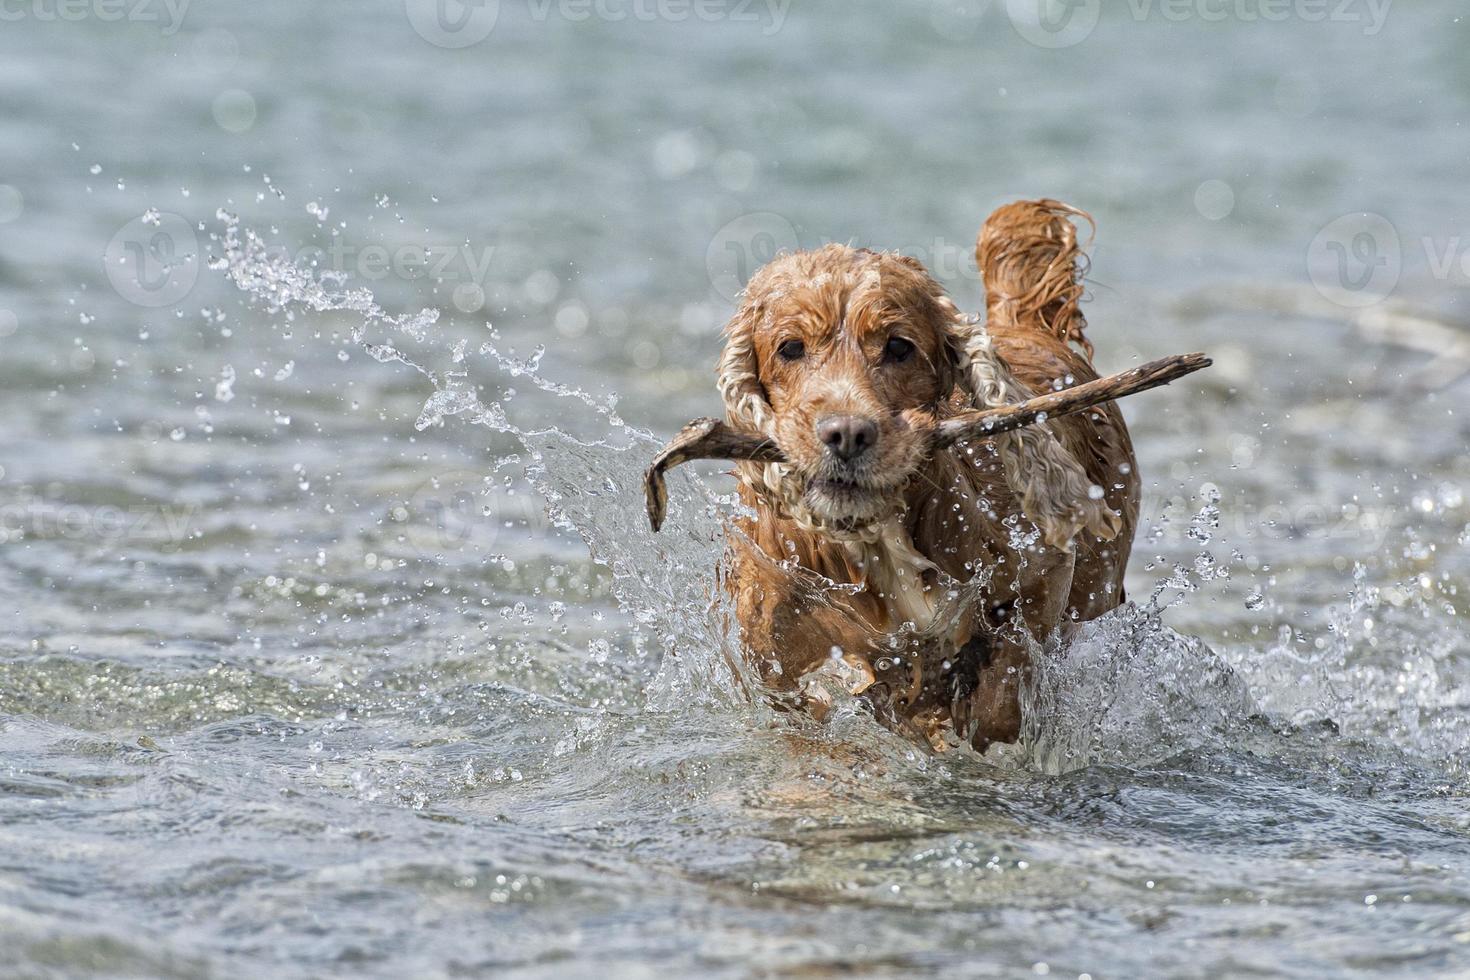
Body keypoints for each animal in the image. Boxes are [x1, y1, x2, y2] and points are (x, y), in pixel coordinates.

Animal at [711, 196, 1134, 752]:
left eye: (898, 346)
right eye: (790, 348)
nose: (846, 434)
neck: (877, 538)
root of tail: (1028, 327)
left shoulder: (1043, 570)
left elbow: (1003, 688)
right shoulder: (778, 661)